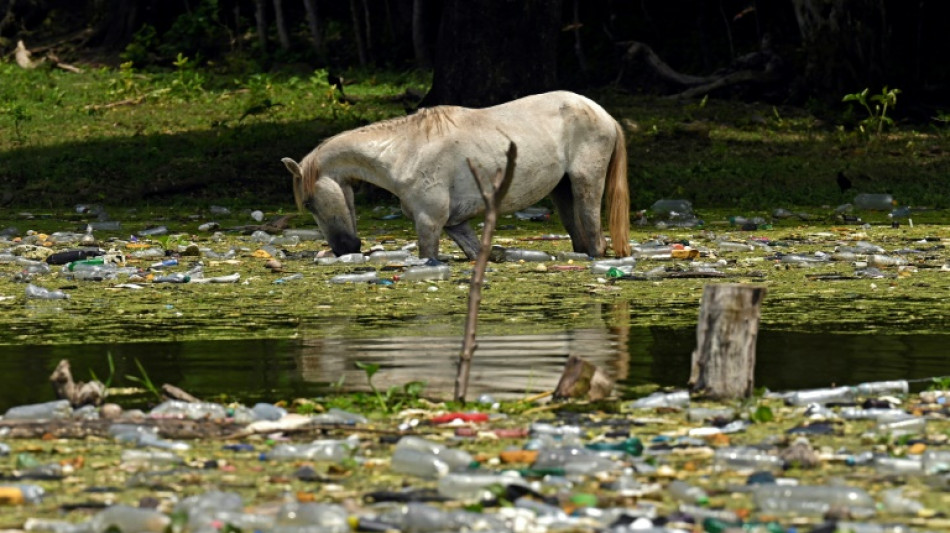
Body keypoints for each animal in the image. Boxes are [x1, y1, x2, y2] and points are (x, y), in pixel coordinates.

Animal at [286, 90, 636, 260]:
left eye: (311, 203)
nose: (345, 249)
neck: (405, 151)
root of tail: (605, 115)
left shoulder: (429, 222)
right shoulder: (455, 224)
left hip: (586, 185)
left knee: (595, 240)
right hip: (562, 191)